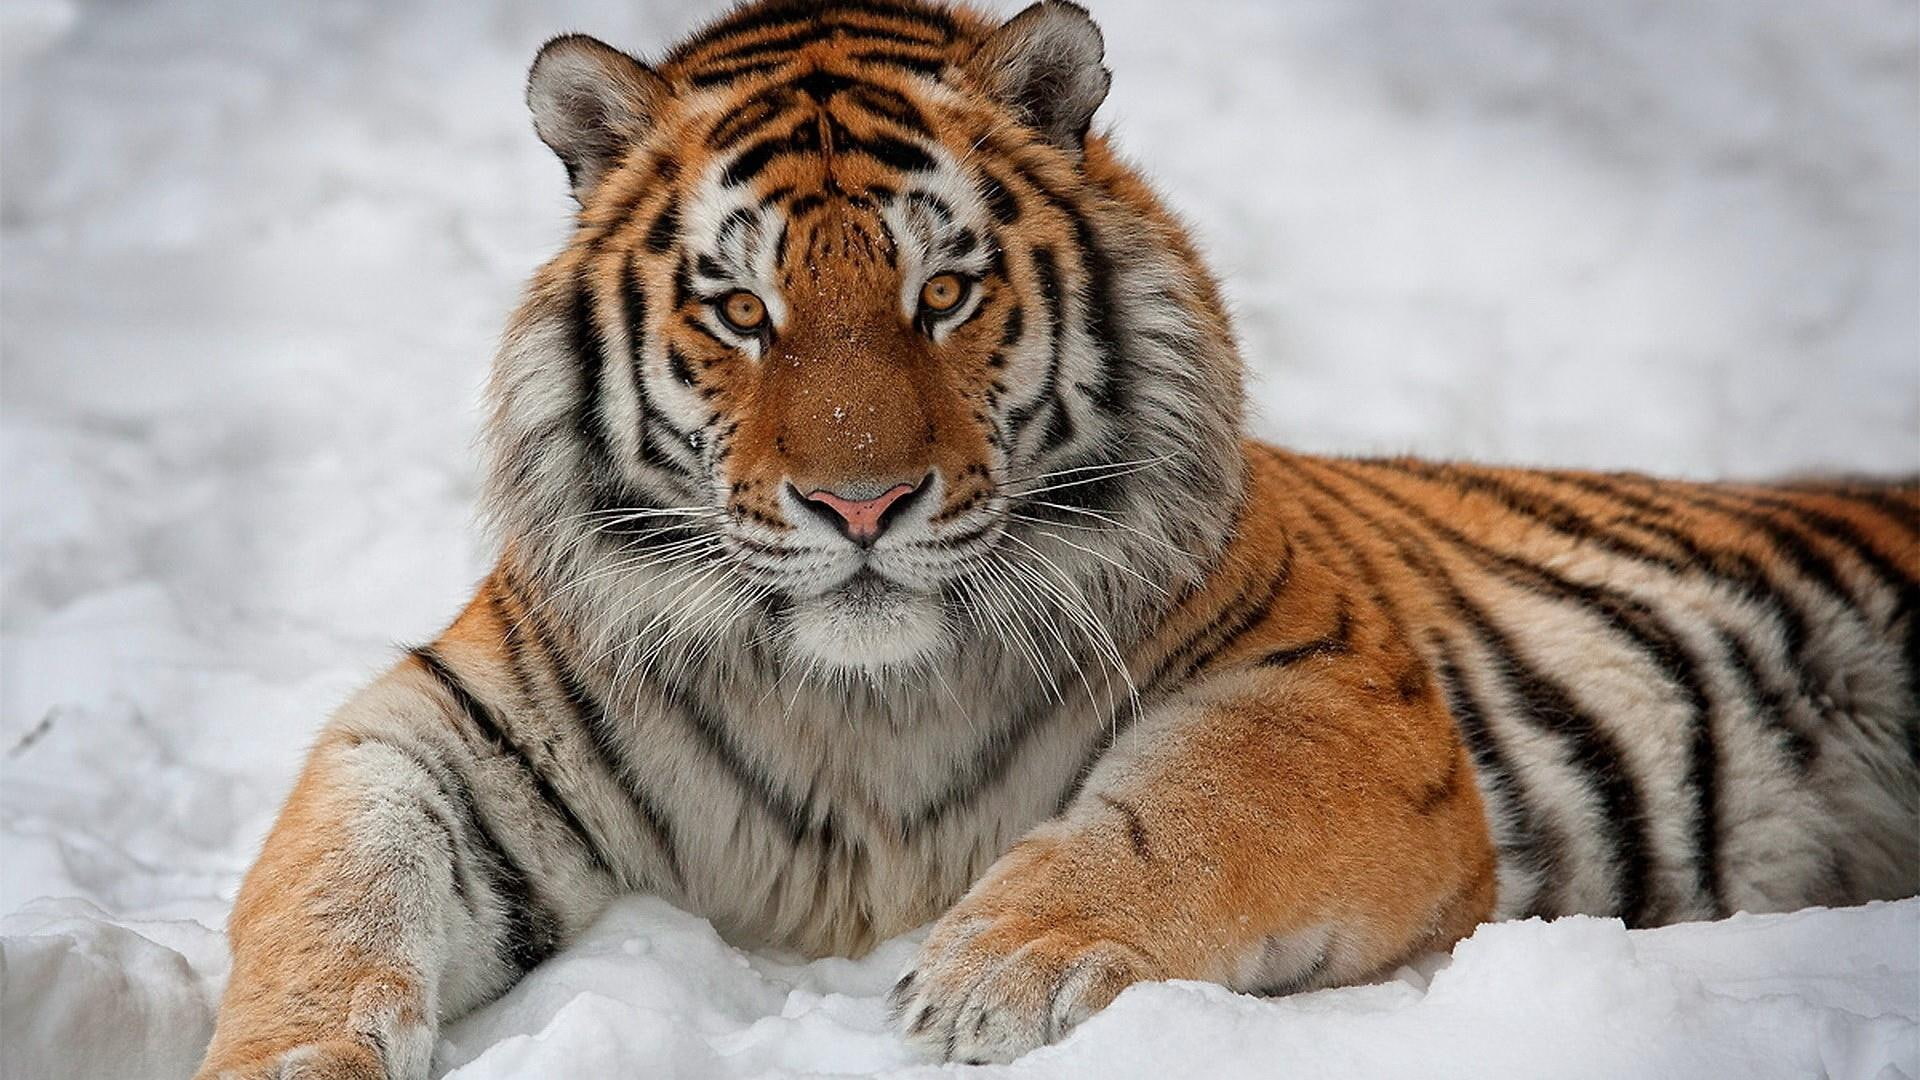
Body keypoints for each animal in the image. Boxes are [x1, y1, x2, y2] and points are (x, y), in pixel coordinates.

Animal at [193, 0, 1920, 1075]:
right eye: (742, 312)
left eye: (944, 292)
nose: (861, 505)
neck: (857, 704)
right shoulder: (442, 729)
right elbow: (327, 892)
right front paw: (284, 1057)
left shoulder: (1338, 697)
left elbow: (1183, 816)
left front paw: (995, 974)